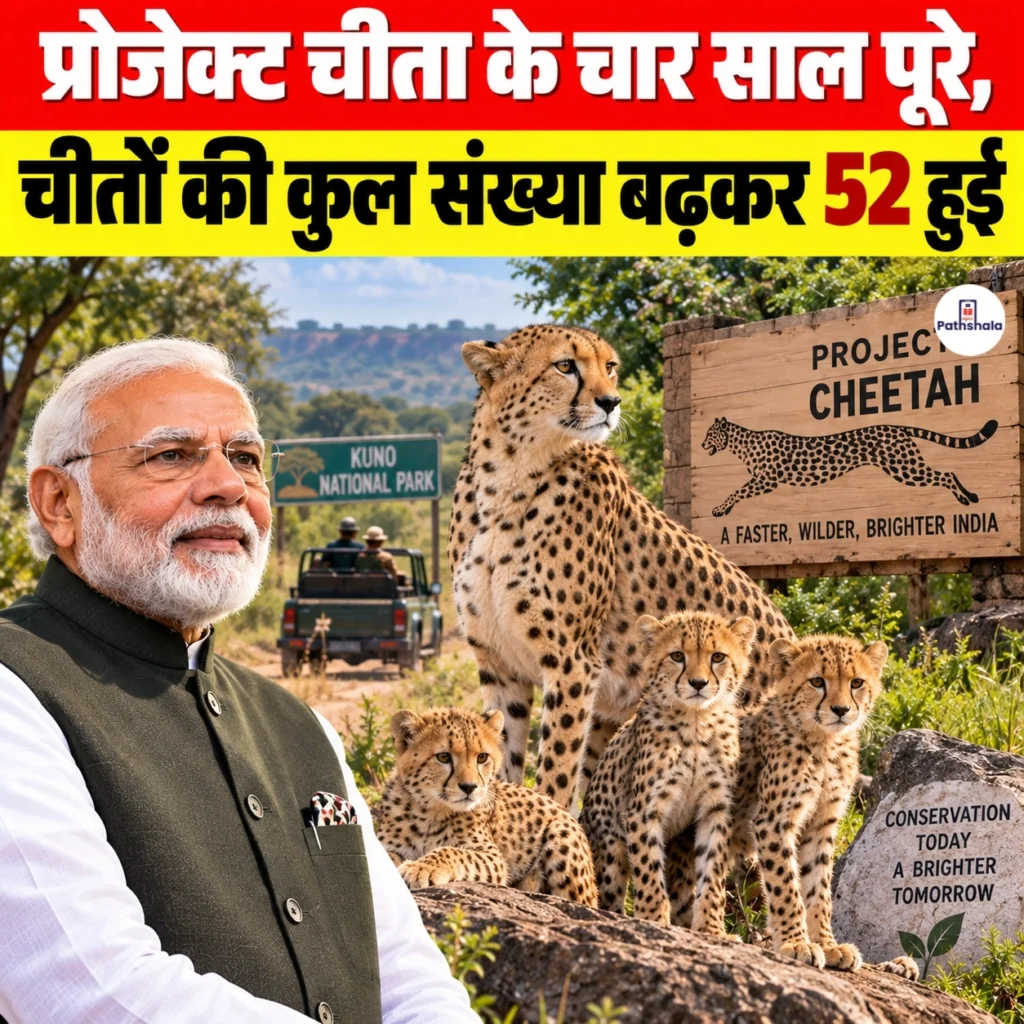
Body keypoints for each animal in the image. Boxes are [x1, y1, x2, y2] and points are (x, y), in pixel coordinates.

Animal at [373, 705, 598, 906]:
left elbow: (453, 851)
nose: (469, 787)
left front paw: (421, 868)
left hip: (561, 834)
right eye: (443, 756)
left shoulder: (493, 858)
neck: (430, 811)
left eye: (482, 757)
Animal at [448, 324, 792, 809]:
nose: (611, 402)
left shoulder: (572, 662)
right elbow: (503, 759)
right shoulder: (499, 664)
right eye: (565, 365)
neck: (508, 479)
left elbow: (555, 769)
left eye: (609, 366)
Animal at [580, 611, 754, 934]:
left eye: (718, 657)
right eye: (676, 656)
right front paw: (653, 918)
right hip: (608, 846)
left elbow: (712, 871)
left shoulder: (715, 808)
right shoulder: (643, 811)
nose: (698, 683)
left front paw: (711, 928)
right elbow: (649, 870)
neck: (697, 722)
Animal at [702, 416, 998, 517]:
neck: (741, 444)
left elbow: (736, 491)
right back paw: (970, 497)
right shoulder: (763, 482)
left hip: (905, 467)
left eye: (709, 434)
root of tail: (894, 426)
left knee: (946, 473)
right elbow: (738, 492)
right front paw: (724, 509)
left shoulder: (767, 481)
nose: (703, 445)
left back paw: (966, 498)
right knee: (947, 472)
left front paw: (718, 509)